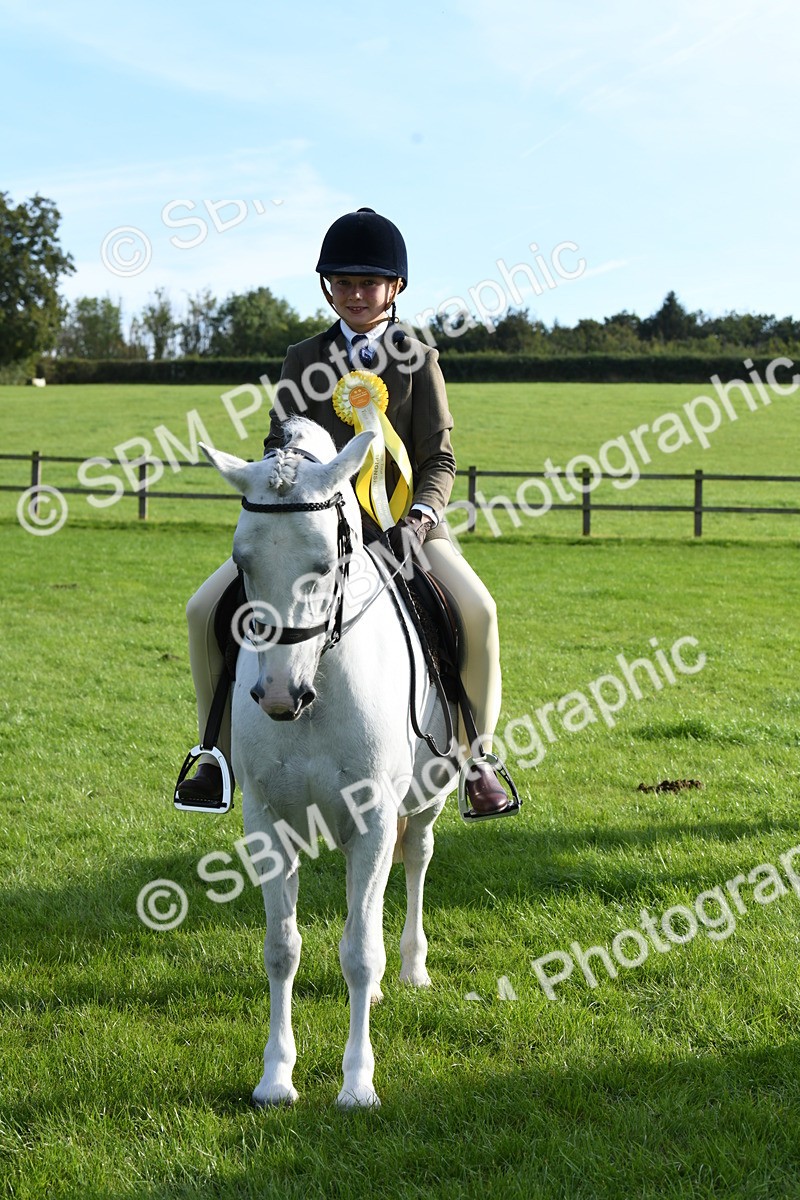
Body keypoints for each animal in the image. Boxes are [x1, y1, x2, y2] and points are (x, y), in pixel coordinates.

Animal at [201, 416, 459, 1109]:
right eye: (242, 561)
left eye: (324, 562)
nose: (279, 696)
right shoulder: (266, 824)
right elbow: (281, 948)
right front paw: (275, 1077)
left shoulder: (372, 819)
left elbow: (359, 953)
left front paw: (357, 1083)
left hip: (427, 797)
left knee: (416, 860)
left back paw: (412, 966)